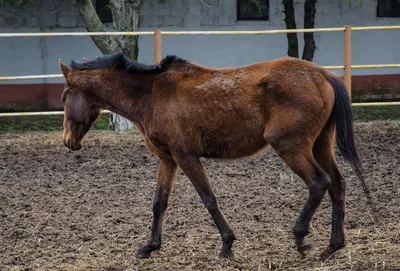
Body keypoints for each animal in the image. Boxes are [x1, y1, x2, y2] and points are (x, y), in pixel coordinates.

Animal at [57, 52, 368, 262]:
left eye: (63, 98)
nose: (68, 142)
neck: (151, 94)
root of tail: (322, 75)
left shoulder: (186, 156)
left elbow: (208, 199)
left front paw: (227, 244)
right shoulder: (168, 160)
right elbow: (159, 203)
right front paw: (150, 246)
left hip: (291, 147)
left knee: (319, 182)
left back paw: (301, 237)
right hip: (320, 145)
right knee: (337, 185)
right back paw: (332, 247)